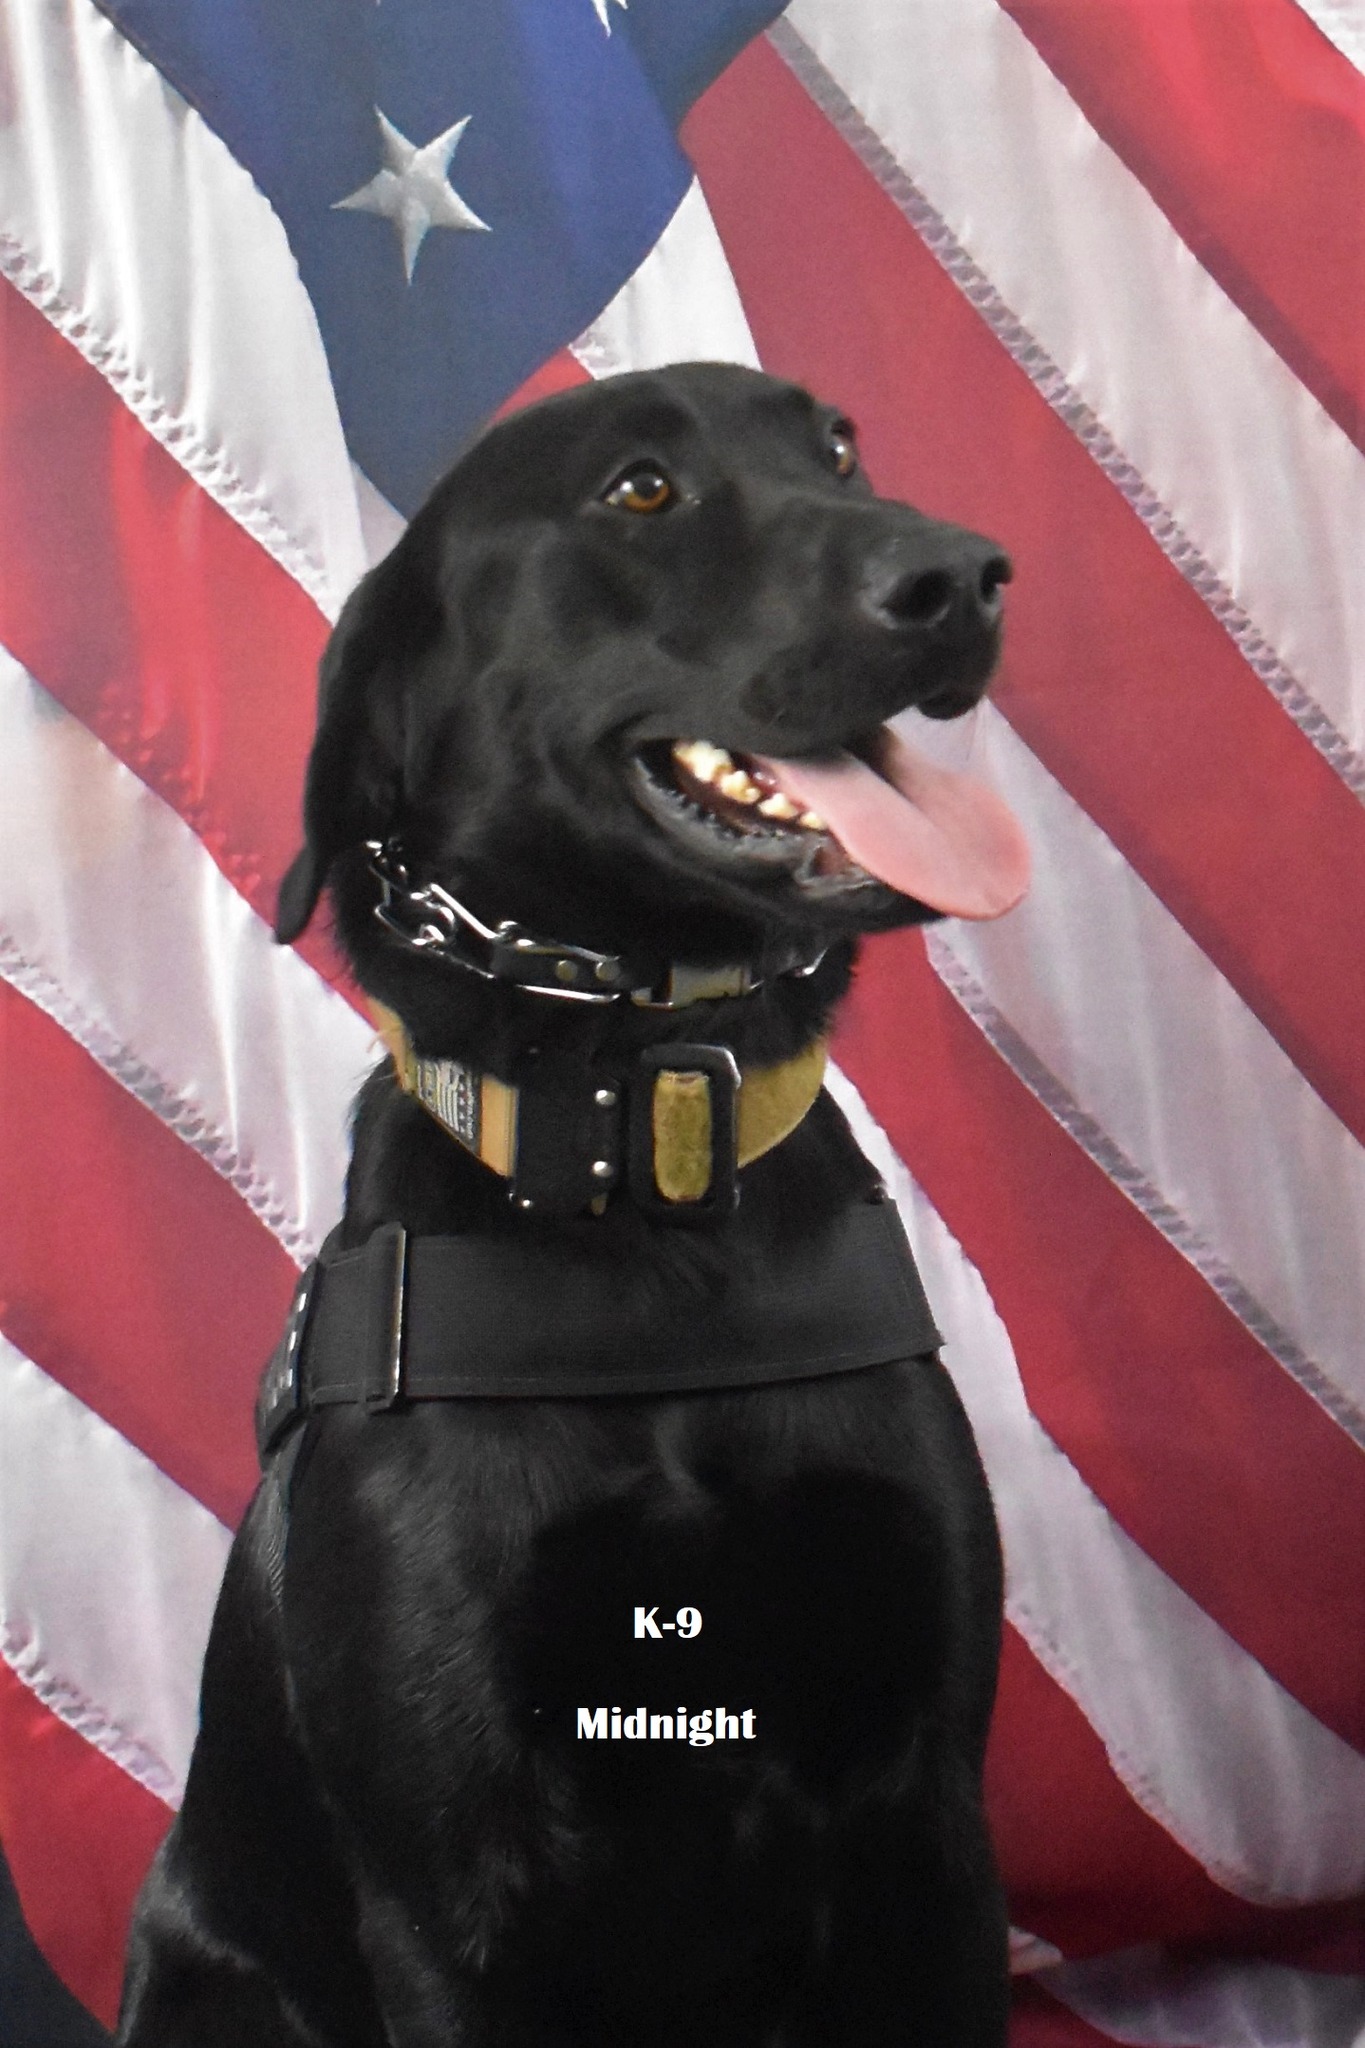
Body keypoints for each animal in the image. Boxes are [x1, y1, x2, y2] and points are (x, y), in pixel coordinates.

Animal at [120, 368, 1023, 2048]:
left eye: (841, 448)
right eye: (640, 490)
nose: (966, 575)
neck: (641, 1145)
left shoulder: (931, 1826)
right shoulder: (457, 1895)